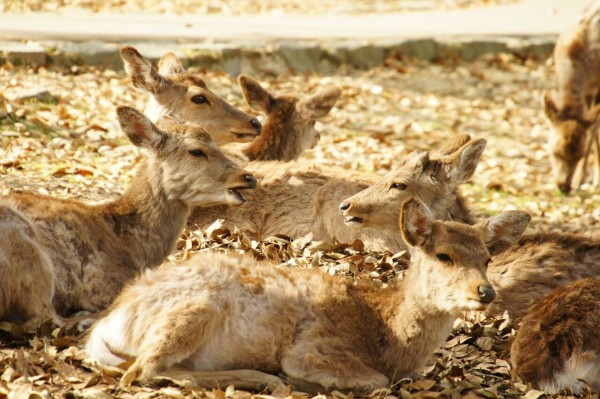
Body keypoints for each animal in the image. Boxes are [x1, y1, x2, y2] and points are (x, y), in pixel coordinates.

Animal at [85, 197, 528, 394]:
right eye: (443, 255)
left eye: (487, 257)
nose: (485, 291)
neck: (384, 334)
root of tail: (108, 324)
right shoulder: (316, 350)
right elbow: (373, 382)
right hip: (193, 309)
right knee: (144, 370)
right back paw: (263, 377)